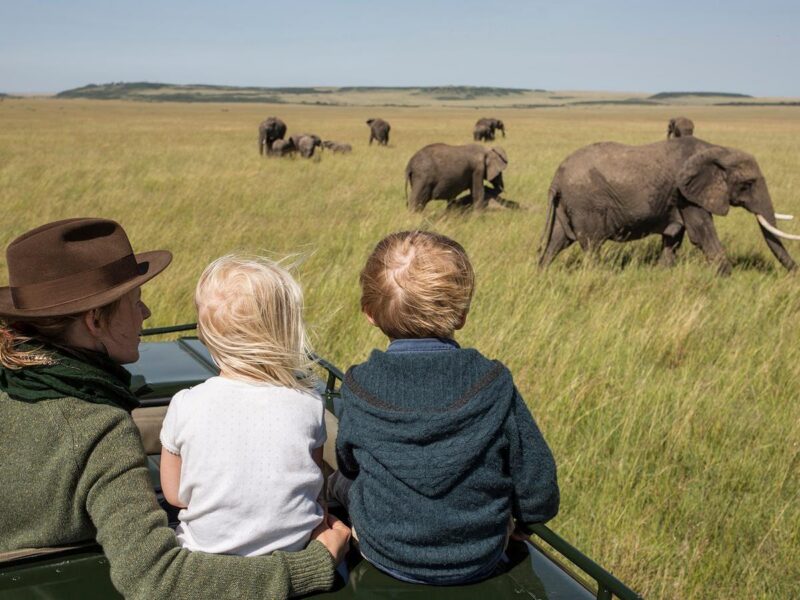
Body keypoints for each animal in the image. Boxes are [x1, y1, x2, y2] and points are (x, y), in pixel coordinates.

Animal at [538, 136, 800, 275]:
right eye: (748, 184)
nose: (795, 273)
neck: (716, 150)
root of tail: (556, 177)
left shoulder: (679, 198)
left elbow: (674, 237)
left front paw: (663, 272)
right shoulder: (687, 194)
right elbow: (702, 234)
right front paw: (727, 278)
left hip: (569, 205)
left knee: (558, 241)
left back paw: (542, 272)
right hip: (586, 204)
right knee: (591, 244)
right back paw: (599, 275)